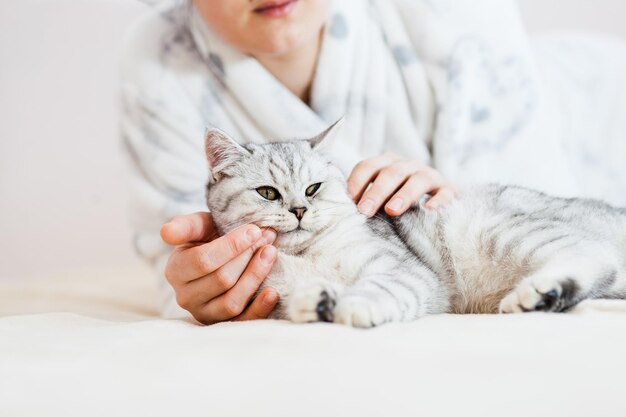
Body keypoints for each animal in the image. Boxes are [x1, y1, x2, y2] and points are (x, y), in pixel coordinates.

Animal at [204, 122, 624, 326]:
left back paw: (536, 293)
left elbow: (378, 288)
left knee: (596, 257)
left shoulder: (401, 269)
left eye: (313, 188)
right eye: (267, 193)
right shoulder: (278, 294)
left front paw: (354, 305)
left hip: (500, 230)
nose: (299, 210)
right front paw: (320, 302)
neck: (307, 255)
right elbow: (302, 299)